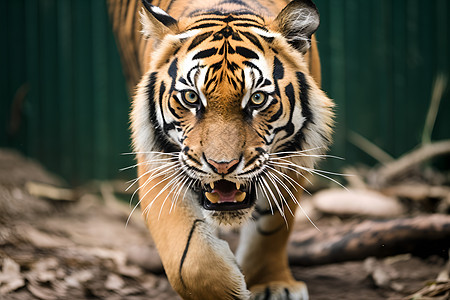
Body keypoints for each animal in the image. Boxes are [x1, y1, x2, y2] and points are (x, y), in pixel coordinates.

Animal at [108, 0, 334, 298]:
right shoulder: (159, 163)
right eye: (191, 97)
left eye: (257, 99)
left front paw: (272, 284)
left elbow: (272, 230)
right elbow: (189, 260)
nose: (222, 166)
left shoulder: (293, 160)